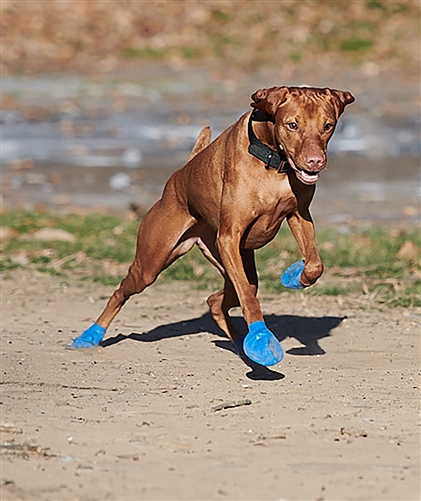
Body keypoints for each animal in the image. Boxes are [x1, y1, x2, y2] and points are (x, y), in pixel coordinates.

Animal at [70, 86, 352, 366]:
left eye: (328, 125)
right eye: (292, 124)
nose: (315, 161)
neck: (272, 160)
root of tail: (180, 173)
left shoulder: (298, 214)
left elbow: (314, 265)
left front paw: (295, 276)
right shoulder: (229, 237)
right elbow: (249, 300)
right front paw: (262, 339)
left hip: (233, 262)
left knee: (217, 300)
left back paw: (240, 344)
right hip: (153, 261)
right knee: (123, 291)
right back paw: (90, 336)